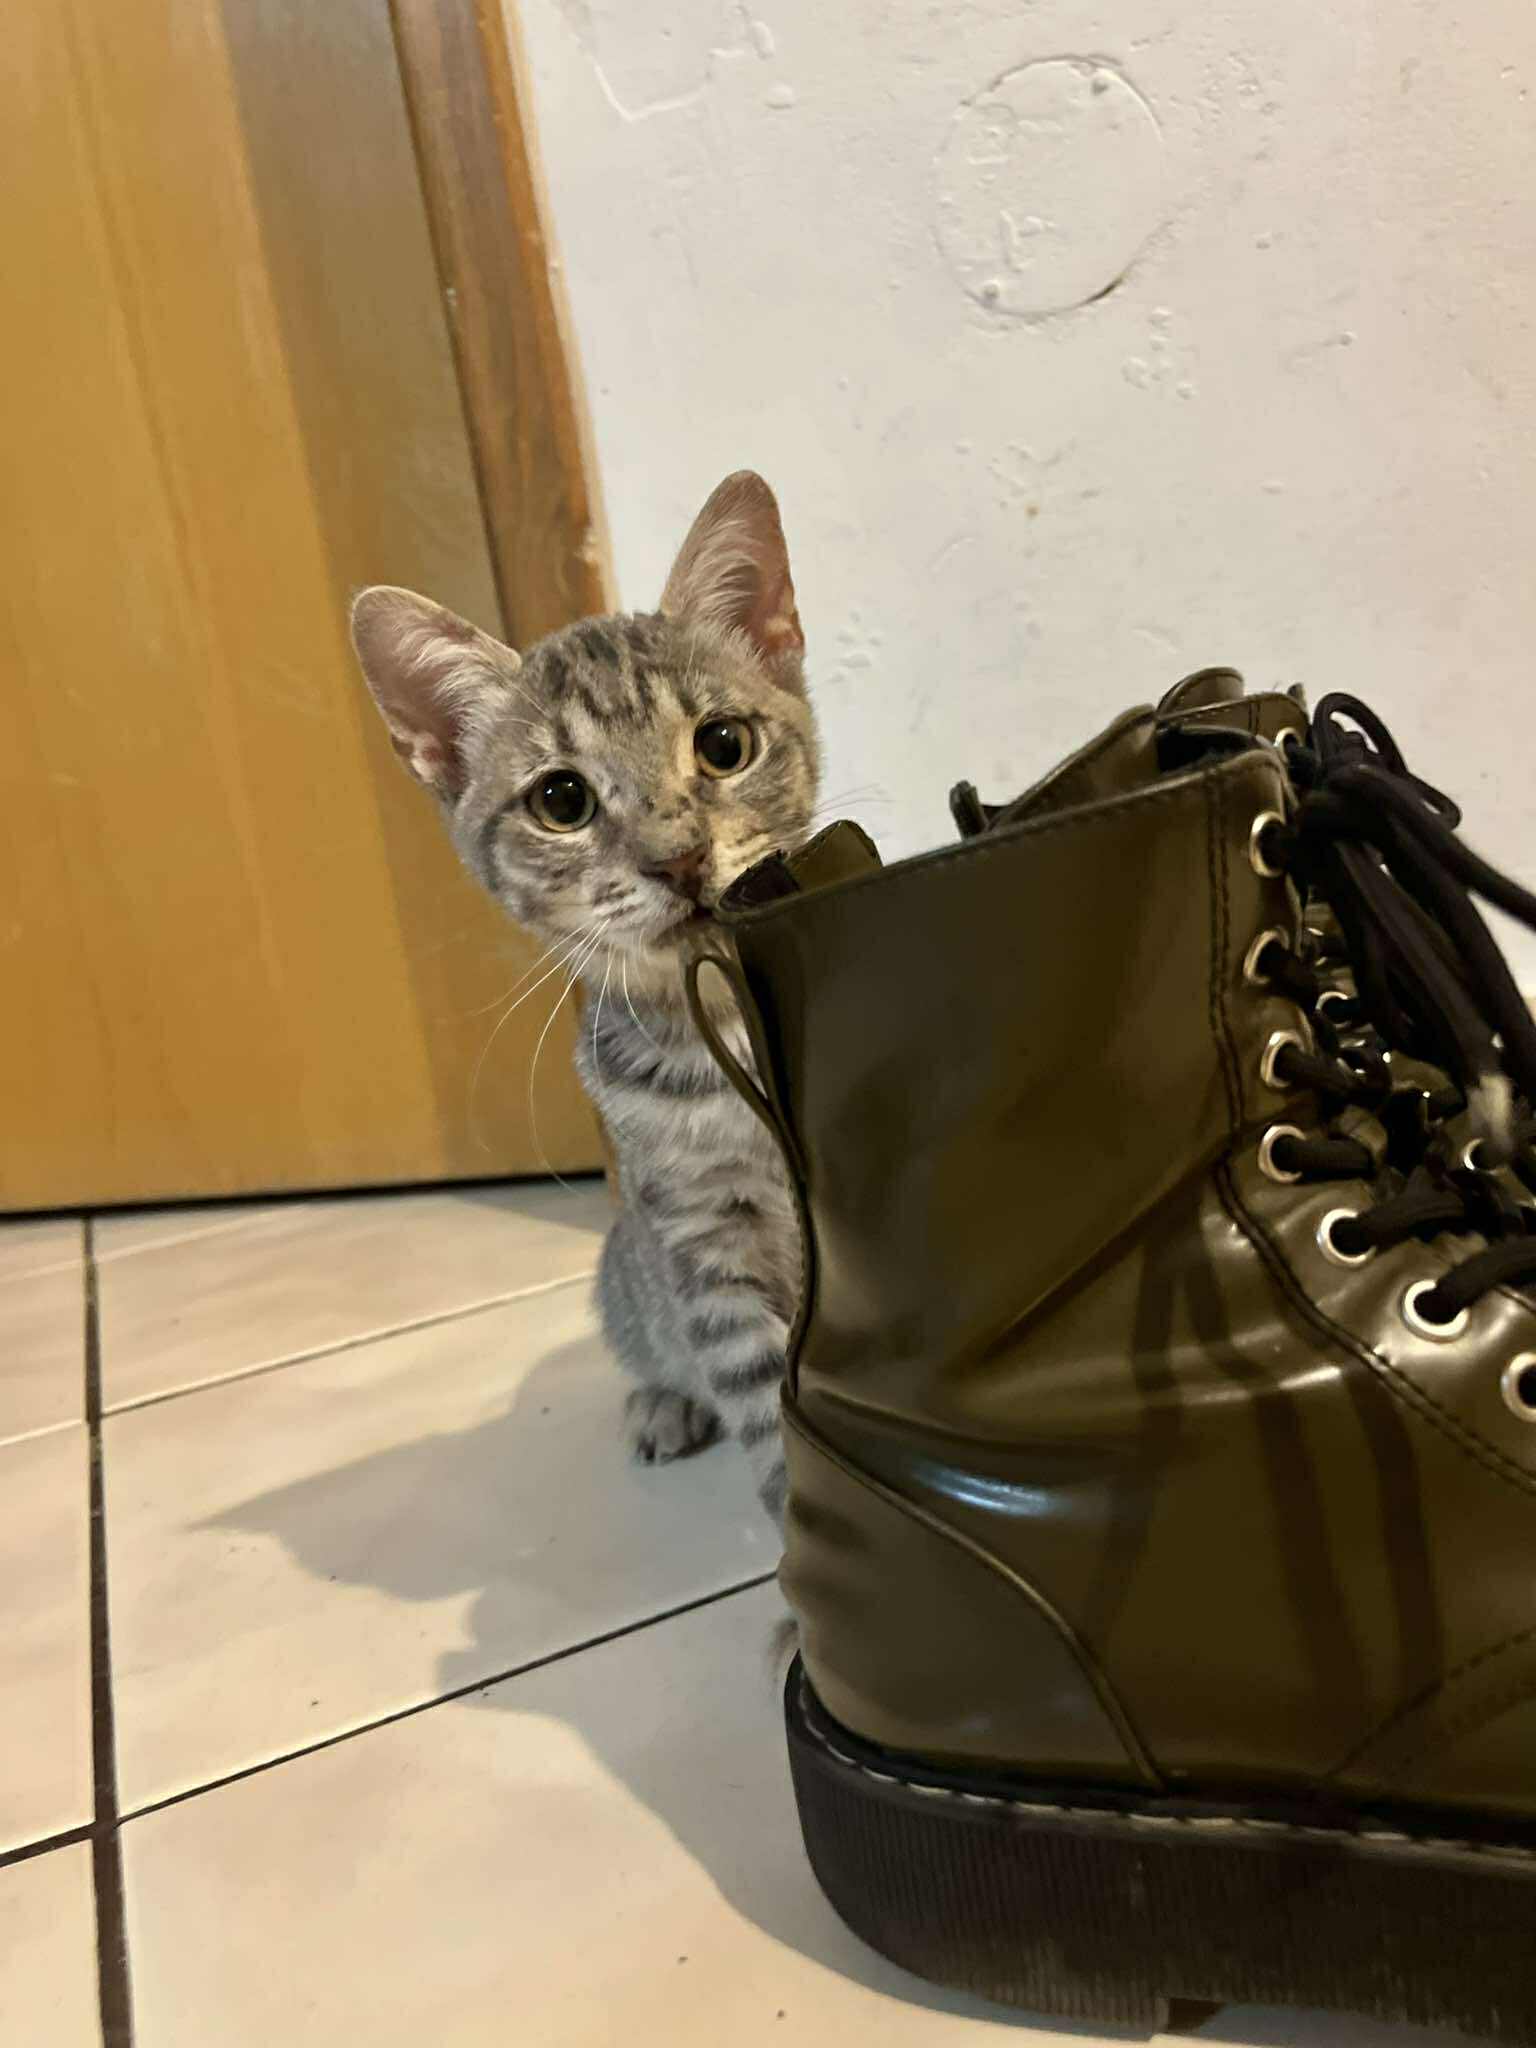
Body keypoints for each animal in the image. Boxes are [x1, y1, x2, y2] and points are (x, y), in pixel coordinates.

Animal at [350, 472, 818, 1523]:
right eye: (561, 801)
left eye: (723, 745)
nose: (678, 857)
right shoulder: (703, 1245)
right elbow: (764, 1411)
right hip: (627, 1275)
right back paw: (662, 1404)